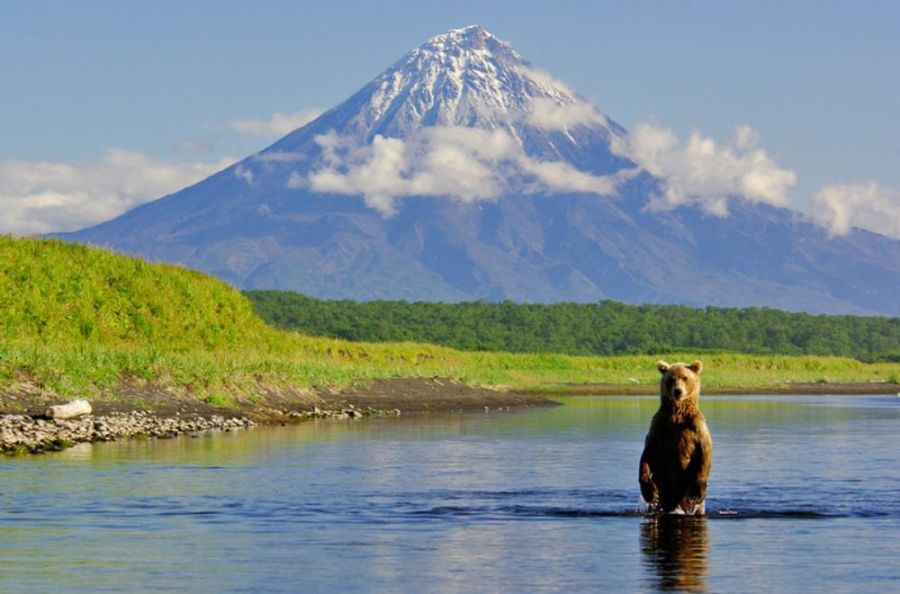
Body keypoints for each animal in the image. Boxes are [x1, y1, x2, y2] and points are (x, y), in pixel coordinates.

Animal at [640, 358, 712, 512]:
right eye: (671, 379)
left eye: (685, 377)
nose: (678, 391)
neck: (677, 414)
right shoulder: (659, 425)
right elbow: (648, 453)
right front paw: (650, 492)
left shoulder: (696, 426)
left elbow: (705, 451)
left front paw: (697, 491)